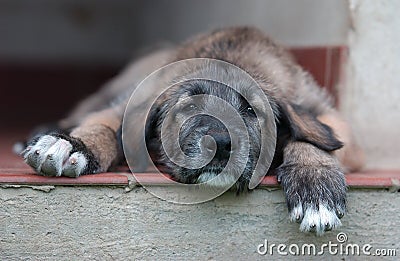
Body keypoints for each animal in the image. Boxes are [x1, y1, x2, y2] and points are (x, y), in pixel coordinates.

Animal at [19, 26, 362, 234]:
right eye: (188, 106)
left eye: (251, 110)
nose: (220, 144)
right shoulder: (127, 104)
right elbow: (105, 126)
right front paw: (76, 145)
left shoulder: (331, 118)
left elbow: (314, 140)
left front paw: (315, 183)